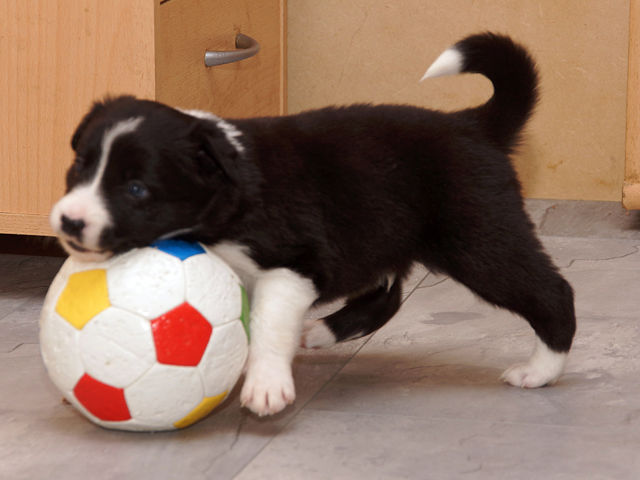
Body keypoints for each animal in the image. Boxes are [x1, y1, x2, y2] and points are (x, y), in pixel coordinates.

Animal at [50, 33, 576, 416]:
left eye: (137, 189)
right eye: (79, 166)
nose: (69, 222)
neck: (225, 188)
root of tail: (473, 124)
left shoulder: (294, 264)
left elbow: (266, 322)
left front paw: (265, 386)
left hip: (480, 239)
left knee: (551, 290)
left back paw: (540, 371)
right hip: (379, 234)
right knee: (385, 296)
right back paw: (319, 332)